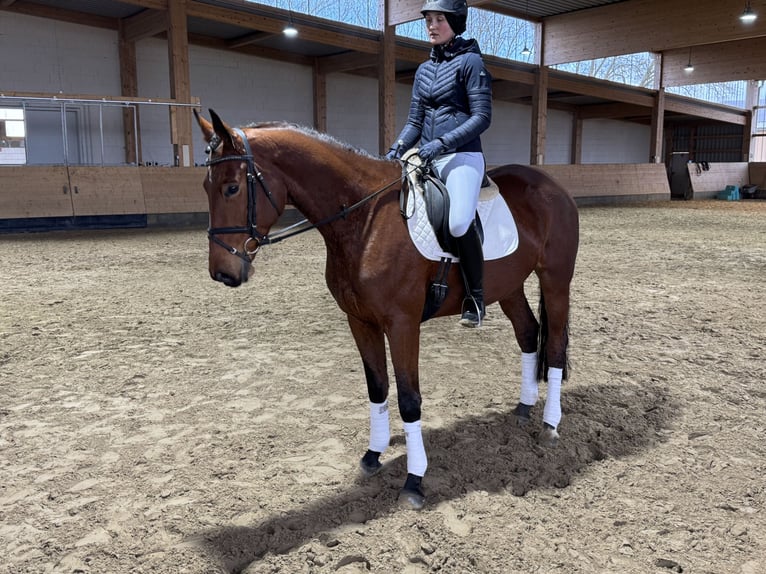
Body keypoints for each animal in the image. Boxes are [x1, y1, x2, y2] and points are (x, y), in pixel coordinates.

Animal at [195, 110, 580, 510]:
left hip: (555, 280)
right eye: (207, 187)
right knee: (528, 333)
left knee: (554, 346)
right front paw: (373, 455)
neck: (364, 218)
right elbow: (377, 388)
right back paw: (523, 408)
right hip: (509, 286)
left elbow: (409, 399)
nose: (223, 272)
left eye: (232, 188)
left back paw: (550, 425)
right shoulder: (360, 321)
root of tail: (551, 185)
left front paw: (414, 480)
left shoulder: (402, 324)